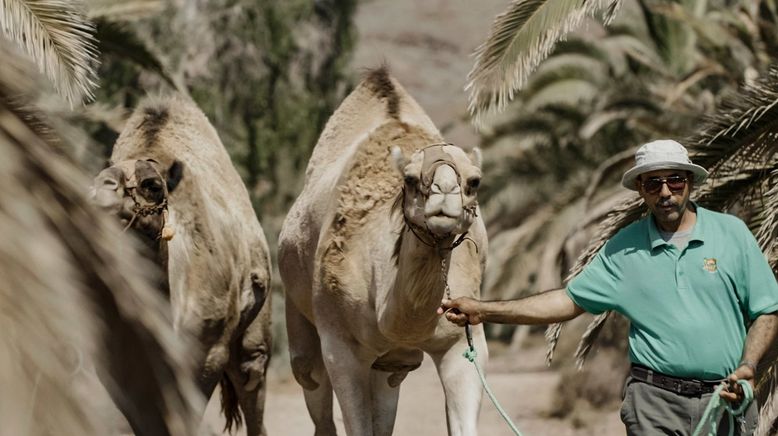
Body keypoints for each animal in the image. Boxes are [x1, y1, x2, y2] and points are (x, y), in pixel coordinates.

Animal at [278, 66, 484, 434]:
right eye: (410, 180)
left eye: (474, 182)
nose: (445, 194)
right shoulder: (341, 346)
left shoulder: (461, 340)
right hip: (298, 307)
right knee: (308, 374)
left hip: (390, 361)